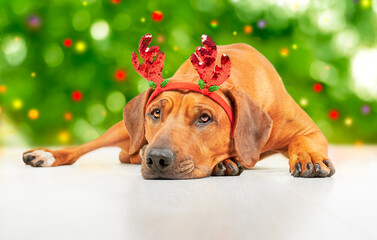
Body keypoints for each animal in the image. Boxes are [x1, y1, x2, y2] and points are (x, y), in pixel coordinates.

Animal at [22, 34, 334, 179]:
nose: (156, 159)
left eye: (205, 118)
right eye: (155, 113)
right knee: (86, 148)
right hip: (124, 130)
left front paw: (310, 157)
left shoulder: (308, 129)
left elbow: (304, 141)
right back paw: (47, 154)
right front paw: (226, 161)